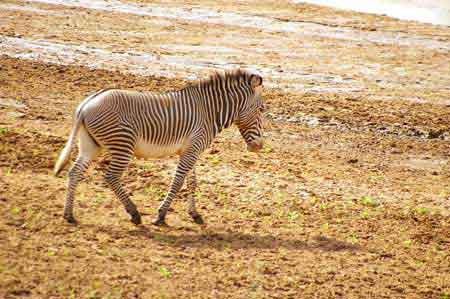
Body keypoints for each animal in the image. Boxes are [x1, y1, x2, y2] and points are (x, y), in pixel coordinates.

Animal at [53, 68, 264, 227]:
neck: (209, 111)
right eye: (262, 110)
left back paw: (68, 215)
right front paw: (161, 215)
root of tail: (86, 105)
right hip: (122, 144)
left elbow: (192, 182)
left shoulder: (191, 150)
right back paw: (134, 213)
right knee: (111, 176)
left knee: (75, 172)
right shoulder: (192, 149)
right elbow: (178, 182)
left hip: (90, 145)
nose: (259, 147)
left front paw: (194, 213)